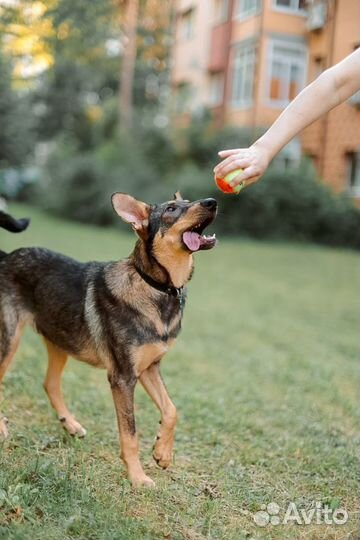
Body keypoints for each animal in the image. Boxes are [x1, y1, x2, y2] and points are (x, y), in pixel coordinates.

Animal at [0, 192, 217, 488]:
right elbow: (130, 433)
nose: (213, 201)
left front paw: (162, 453)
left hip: (60, 339)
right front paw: (137, 477)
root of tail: (5, 257)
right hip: (10, 340)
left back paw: (71, 425)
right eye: (172, 209)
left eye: (190, 201)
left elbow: (171, 410)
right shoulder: (122, 378)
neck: (156, 287)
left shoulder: (149, 368)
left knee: (50, 383)